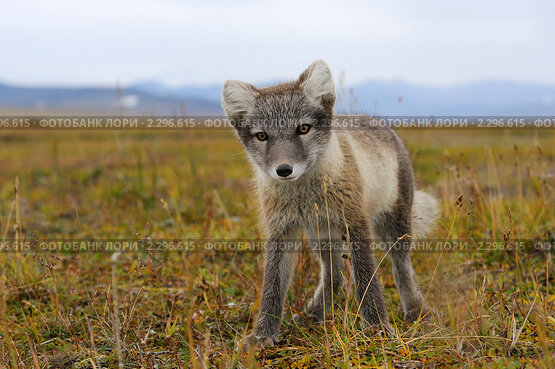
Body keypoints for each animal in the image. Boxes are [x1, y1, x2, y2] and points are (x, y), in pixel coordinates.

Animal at [222, 59, 438, 346]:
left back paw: (415, 310)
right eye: (262, 136)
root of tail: (371, 119)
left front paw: (377, 328)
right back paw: (313, 314)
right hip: (321, 234)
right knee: (335, 274)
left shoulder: (355, 223)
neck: (305, 195)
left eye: (303, 128)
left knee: (401, 266)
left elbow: (366, 278)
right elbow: (272, 286)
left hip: (395, 224)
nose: (284, 170)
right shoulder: (281, 231)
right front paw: (262, 337)